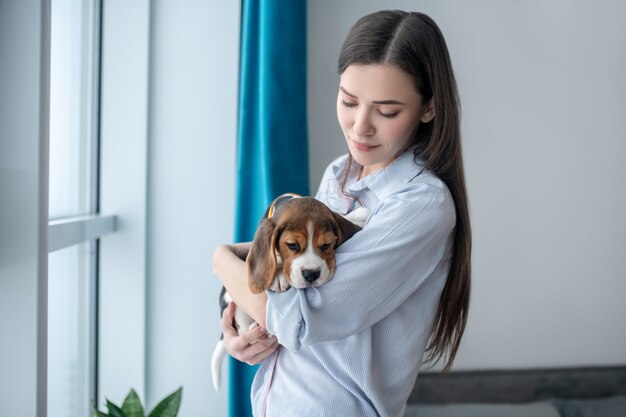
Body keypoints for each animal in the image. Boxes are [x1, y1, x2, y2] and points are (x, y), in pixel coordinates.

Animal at [211, 194, 366, 390]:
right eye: (292, 245)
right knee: (243, 330)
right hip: (232, 302)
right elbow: (274, 257)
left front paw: (357, 215)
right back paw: (258, 330)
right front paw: (278, 274)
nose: (311, 274)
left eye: (326, 245)